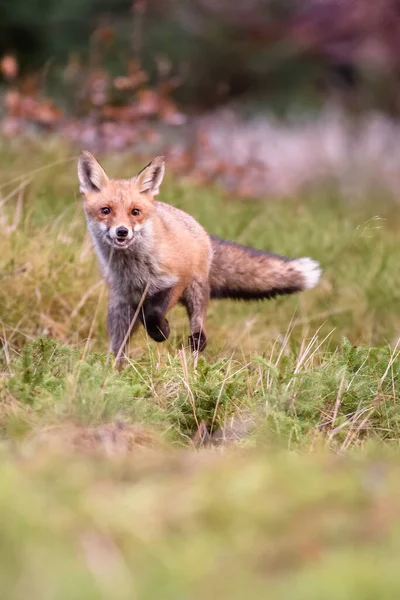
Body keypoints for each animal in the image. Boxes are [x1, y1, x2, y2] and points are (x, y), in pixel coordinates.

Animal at [79, 150, 322, 366]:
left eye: (135, 212)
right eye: (106, 210)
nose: (122, 232)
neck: (134, 269)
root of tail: (202, 231)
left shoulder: (175, 280)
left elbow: (154, 315)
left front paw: (162, 332)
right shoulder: (125, 296)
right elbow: (136, 328)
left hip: (196, 294)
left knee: (199, 334)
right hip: (120, 310)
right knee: (119, 348)